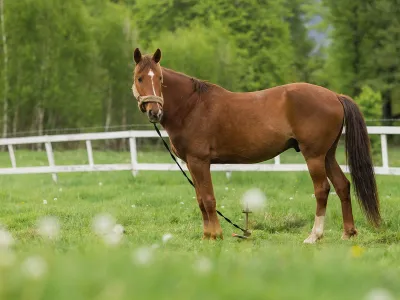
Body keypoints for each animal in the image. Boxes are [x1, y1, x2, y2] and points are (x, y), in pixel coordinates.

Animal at [132, 47, 382, 244]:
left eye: (159, 78)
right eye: (139, 78)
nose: (154, 111)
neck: (191, 106)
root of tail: (335, 96)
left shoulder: (199, 161)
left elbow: (209, 199)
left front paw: (216, 235)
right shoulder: (191, 163)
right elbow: (201, 200)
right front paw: (207, 236)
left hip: (314, 156)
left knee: (322, 190)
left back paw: (314, 235)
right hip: (327, 155)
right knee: (342, 185)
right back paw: (348, 233)